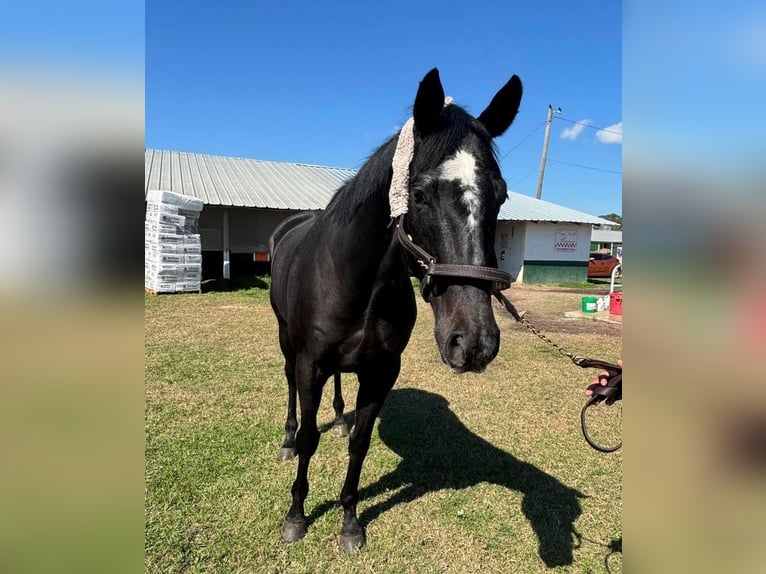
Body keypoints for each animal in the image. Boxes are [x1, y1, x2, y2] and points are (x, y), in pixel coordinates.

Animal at [268, 67, 520, 552]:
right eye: (419, 194)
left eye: (500, 196)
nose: (474, 343)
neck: (355, 279)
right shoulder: (311, 363)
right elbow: (310, 439)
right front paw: (296, 516)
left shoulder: (381, 371)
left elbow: (360, 445)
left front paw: (350, 522)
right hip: (287, 341)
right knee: (290, 388)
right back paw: (286, 441)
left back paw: (339, 419)